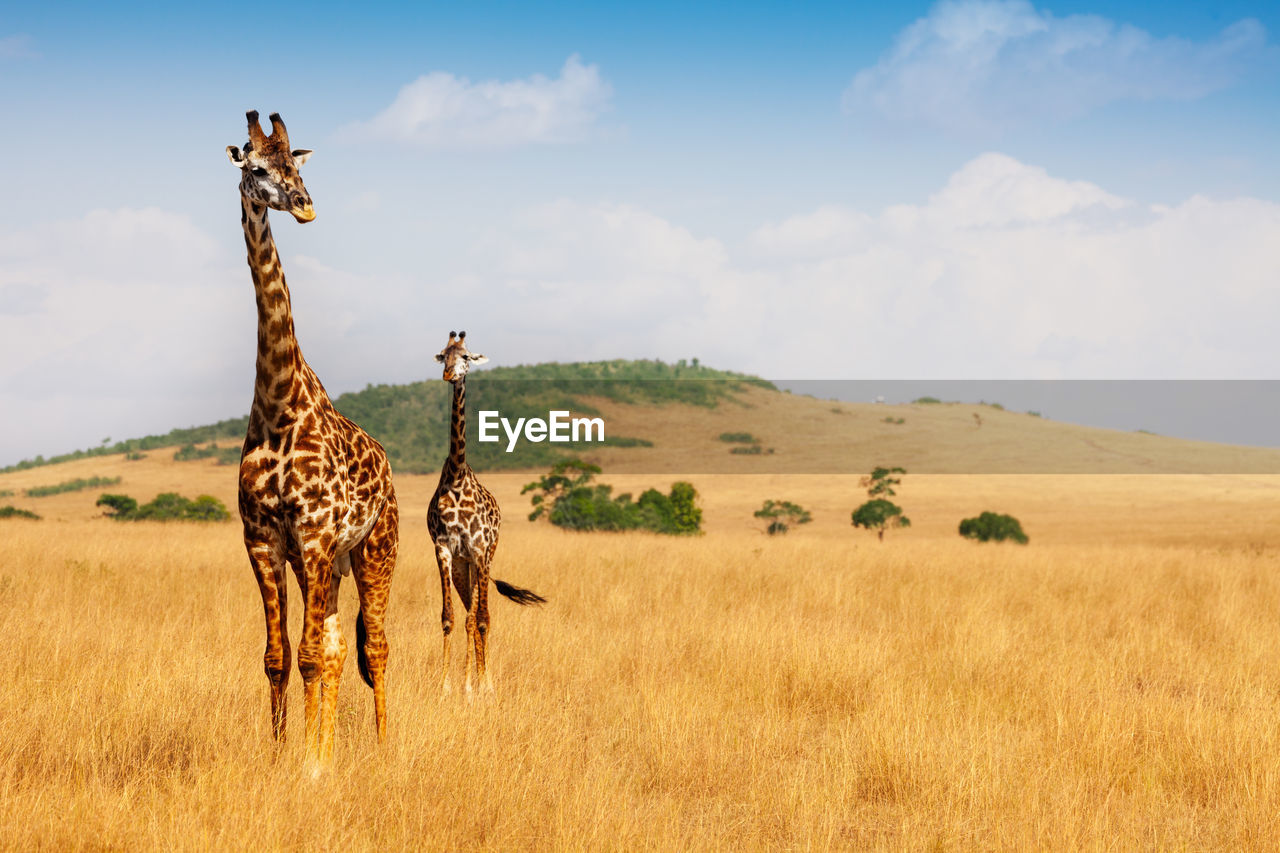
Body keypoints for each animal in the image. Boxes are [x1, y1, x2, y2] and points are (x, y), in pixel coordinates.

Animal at [225, 108, 394, 763]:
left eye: (294, 165)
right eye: (255, 167)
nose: (305, 206)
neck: (277, 404)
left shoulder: (318, 534)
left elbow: (310, 656)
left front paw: (312, 768)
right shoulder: (265, 539)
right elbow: (279, 657)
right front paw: (284, 756)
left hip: (373, 550)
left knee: (372, 645)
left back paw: (381, 745)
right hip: (326, 562)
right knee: (339, 644)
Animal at [427, 327, 542, 696]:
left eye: (466, 356)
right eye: (443, 355)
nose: (449, 375)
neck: (456, 475)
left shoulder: (478, 549)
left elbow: (478, 620)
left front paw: (476, 688)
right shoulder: (444, 550)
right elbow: (449, 617)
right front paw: (447, 687)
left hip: (485, 558)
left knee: (481, 617)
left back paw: (483, 683)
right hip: (464, 568)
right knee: (468, 612)